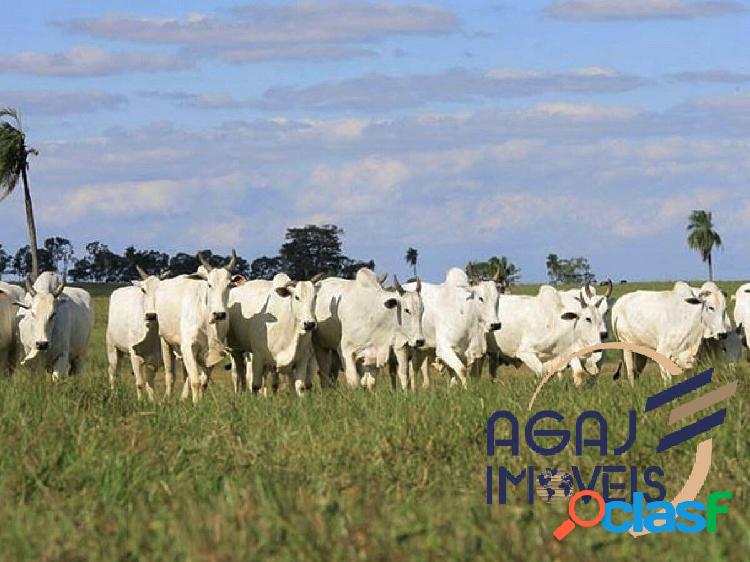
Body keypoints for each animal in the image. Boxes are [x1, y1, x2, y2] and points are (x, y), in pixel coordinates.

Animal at [107, 266, 170, 398]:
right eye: (143, 290)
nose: (151, 315)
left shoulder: (155, 359)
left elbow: (150, 384)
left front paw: (151, 400)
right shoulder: (134, 356)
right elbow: (140, 383)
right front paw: (140, 401)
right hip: (112, 348)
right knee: (113, 372)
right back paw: (113, 394)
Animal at [155, 249, 242, 398]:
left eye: (230, 285)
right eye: (209, 285)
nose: (219, 314)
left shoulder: (214, 352)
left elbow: (203, 382)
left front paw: (199, 400)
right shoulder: (188, 347)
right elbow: (195, 382)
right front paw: (196, 402)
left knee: (186, 376)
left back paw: (184, 398)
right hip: (165, 341)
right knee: (170, 375)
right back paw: (167, 397)